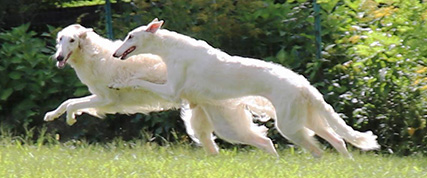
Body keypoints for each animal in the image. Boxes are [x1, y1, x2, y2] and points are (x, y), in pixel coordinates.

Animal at [43, 24, 278, 156]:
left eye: (72, 40)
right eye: (59, 39)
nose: (59, 57)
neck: (96, 56)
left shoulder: (107, 100)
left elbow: (73, 104)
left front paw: (70, 119)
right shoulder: (100, 97)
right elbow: (67, 102)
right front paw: (51, 115)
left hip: (227, 126)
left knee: (265, 141)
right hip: (201, 124)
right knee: (214, 148)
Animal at [112, 18, 380, 158]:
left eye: (130, 36)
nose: (115, 54)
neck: (173, 48)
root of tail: (304, 85)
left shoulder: (172, 90)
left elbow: (140, 80)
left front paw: (118, 82)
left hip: (290, 126)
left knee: (318, 149)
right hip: (307, 119)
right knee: (338, 140)